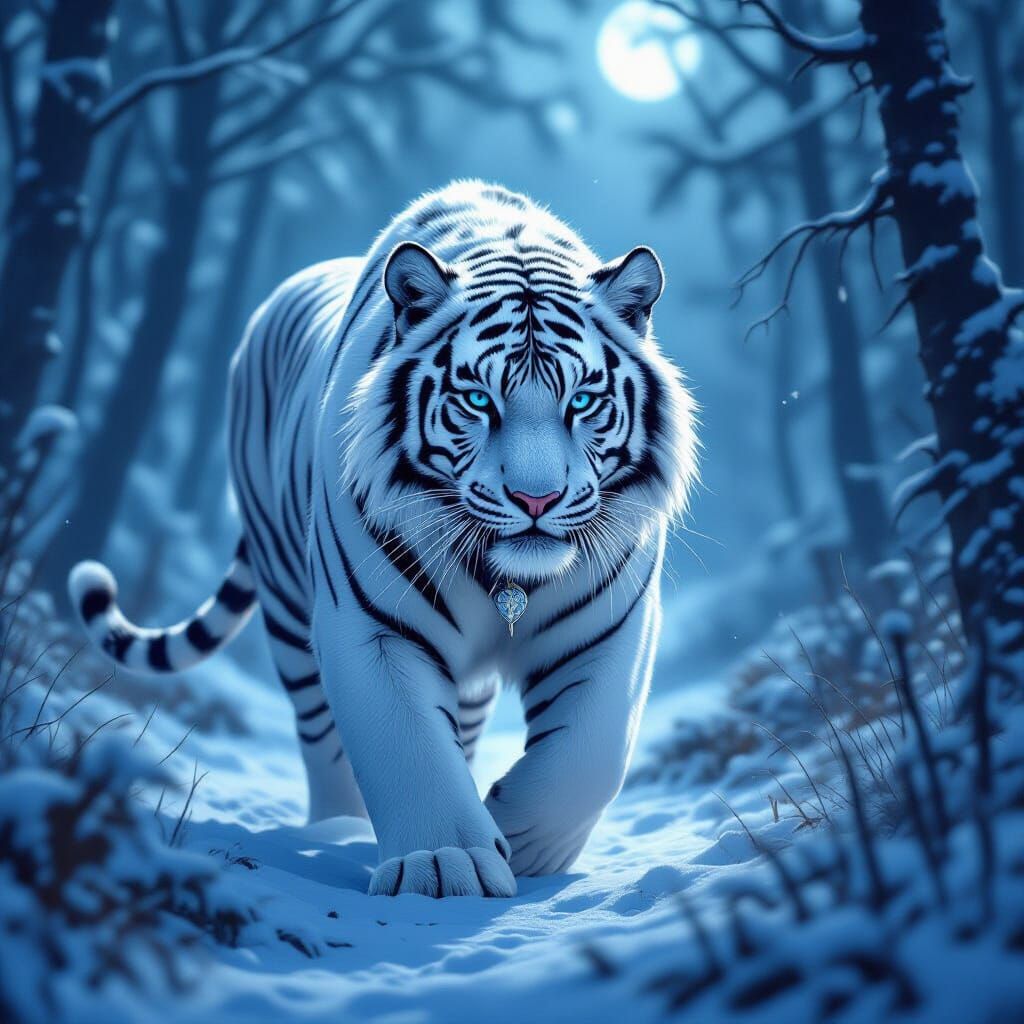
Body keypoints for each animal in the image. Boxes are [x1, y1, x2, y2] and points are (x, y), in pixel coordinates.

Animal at [69, 180, 698, 898]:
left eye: (584, 401)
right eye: (478, 401)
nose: (535, 500)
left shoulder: (612, 629)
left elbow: (590, 755)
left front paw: (524, 842)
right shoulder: (373, 626)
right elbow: (407, 746)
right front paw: (447, 864)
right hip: (288, 611)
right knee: (322, 741)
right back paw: (334, 832)